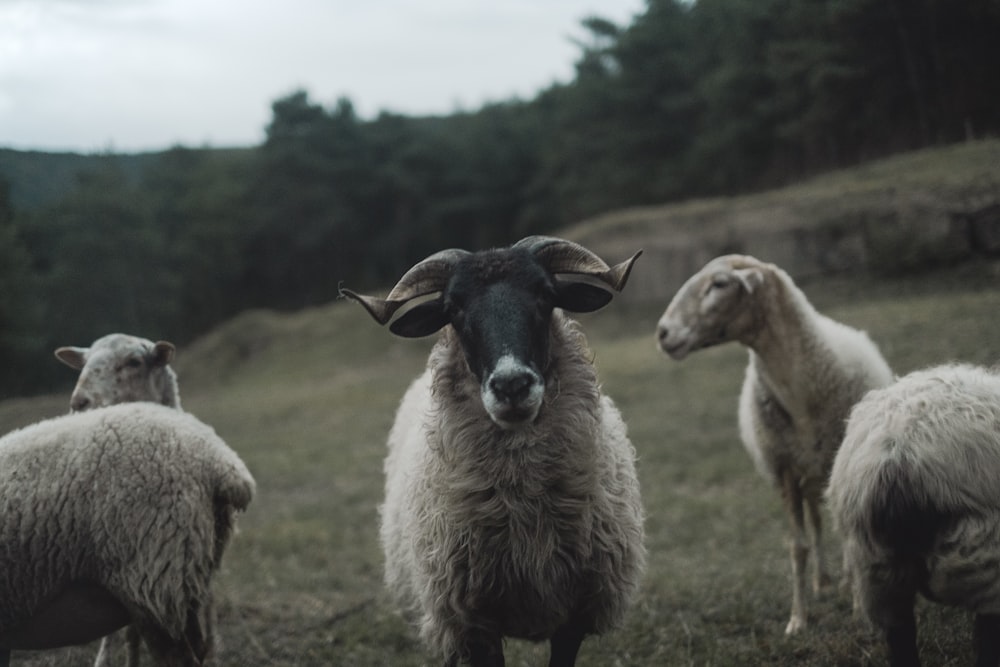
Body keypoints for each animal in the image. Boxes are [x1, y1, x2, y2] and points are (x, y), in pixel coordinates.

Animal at [340, 236, 644, 667]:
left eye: (545, 293)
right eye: (453, 309)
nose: (511, 384)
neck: (526, 516)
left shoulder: (577, 613)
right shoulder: (471, 622)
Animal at [652, 253, 896, 636]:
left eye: (719, 284)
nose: (663, 333)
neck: (800, 392)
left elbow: (848, 536)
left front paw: (859, 610)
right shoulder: (785, 471)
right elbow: (797, 546)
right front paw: (798, 619)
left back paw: (844, 581)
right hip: (809, 476)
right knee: (816, 521)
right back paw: (823, 581)